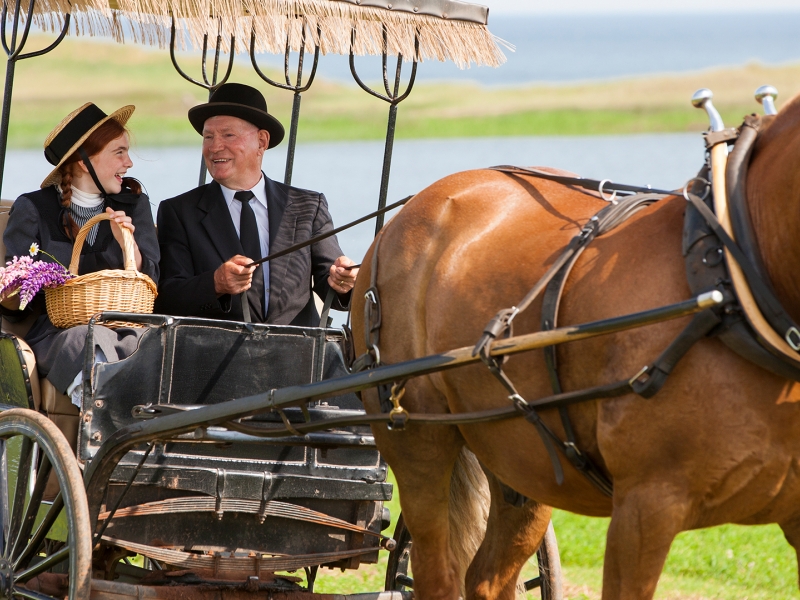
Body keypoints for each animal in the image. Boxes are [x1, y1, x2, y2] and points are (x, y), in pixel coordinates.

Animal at [352, 95, 800, 600]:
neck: (730, 279)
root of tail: (404, 215)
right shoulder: (644, 507)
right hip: (417, 442)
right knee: (437, 571)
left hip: (520, 462)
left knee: (486, 577)